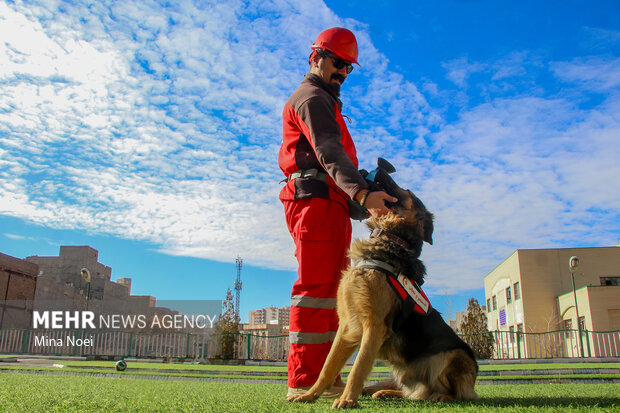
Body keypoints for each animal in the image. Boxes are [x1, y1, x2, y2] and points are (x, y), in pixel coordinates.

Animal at [288, 167, 478, 406]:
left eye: (409, 193)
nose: (378, 169)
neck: (390, 241)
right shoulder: (347, 327)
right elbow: (328, 367)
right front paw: (310, 395)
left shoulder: (374, 326)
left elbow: (358, 367)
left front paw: (347, 400)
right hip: (406, 372)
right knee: (413, 393)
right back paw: (384, 392)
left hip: (455, 356)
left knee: (450, 393)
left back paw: (439, 396)